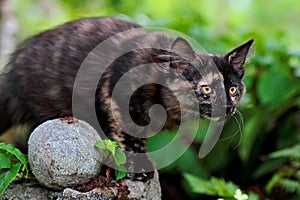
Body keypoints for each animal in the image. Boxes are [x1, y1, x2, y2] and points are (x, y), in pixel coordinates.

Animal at [0, 16, 253, 180]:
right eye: (207, 89)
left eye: (233, 90)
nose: (227, 107)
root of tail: (14, 67)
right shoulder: (119, 99)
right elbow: (132, 137)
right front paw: (140, 169)